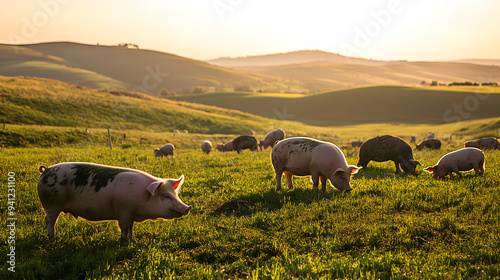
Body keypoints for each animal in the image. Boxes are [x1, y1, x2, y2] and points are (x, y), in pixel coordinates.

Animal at [37, 163, 191, 240]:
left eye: (175, 194)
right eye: (165, 196)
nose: (187, 207)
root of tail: (46, 170)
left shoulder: (131, 214)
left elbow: (131, 227)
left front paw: (132, 240)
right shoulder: (123, 209)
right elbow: (123, 227)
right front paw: (123, 242)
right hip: (51, 203)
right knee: (49, 220)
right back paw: (52, 238)